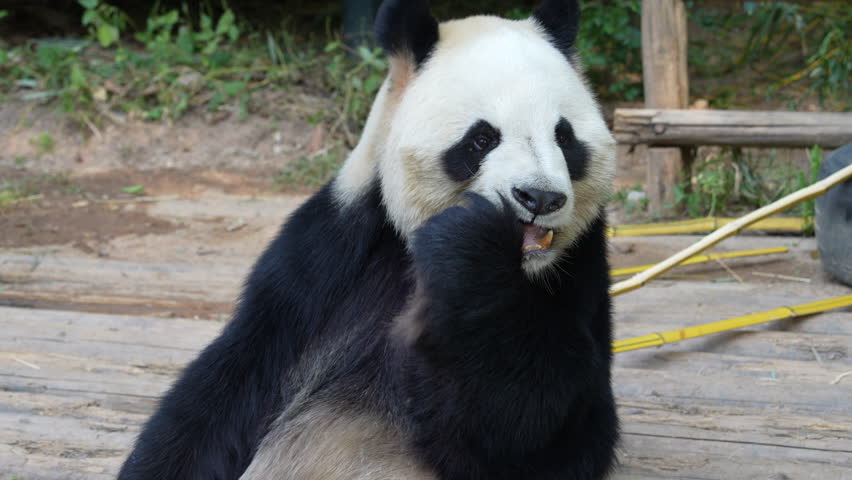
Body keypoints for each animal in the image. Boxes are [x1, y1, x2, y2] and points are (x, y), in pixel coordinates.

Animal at [118, 0, 618, 478]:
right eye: (481, 139)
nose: (540, 196)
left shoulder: (580, 275)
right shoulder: (327, 257)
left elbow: (542, 429)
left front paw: (469, 248)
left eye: (564, 137)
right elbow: (235, 379)